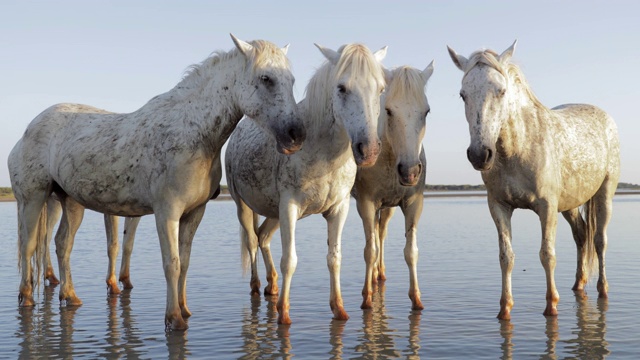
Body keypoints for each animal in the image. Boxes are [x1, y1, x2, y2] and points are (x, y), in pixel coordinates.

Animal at [9, 33, 304, 330]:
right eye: (266, 78)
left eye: (291, 80)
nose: (296, 134)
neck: (190, 133)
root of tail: (27, 132)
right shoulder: (166, 212)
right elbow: (171, 263)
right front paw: (173, 318)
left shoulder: (194, 213)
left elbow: (184, 262)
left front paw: (184, 309)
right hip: (33, 198)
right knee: (29, 245)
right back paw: (27, 298)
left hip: (70, 202)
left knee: (62, 244)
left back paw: (70, 297)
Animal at [225, 43, 384, 324]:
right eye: (341, 88)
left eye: (381, 89)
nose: (369, 150)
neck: (322, 151)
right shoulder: (289, 207)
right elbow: (290, 260)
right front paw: (284, 315)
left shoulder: (338, 209)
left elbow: (334, 258)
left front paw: (339, 309)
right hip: (242, 205)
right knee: (252, 242)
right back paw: (257, 286)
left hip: (273, 213)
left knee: (263, 237)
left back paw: (272, 286)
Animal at [350, 61, 436, 310]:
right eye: (388, 110)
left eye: (426, 111)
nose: (410, 171)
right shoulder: (366, 203)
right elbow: (369, 250)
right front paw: (367, 298)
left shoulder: (413, 203)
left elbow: (411, 251)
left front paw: (416, 298)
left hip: (387, 207)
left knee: (381, 233)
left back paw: (380, 274)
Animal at [444, 40, 620, 320]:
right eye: (463, 94)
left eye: (502, 91)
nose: (480, 154)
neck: (519, 148)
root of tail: (605, 117)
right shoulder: (499, 206)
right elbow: (506, 256)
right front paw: (505, 308)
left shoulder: (546, 207)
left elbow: (547, 254)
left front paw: (551, 306)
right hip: (569, 205)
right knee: (582, 235)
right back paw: (578, 284)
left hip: (605, 194)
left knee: (600, 241)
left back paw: (602, 290)